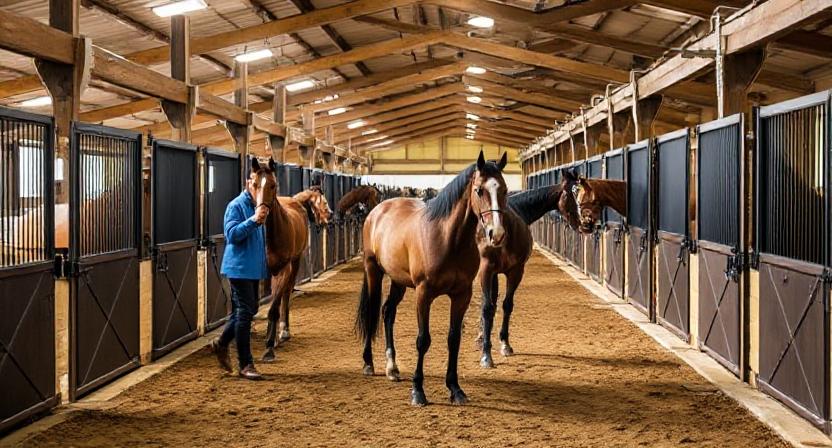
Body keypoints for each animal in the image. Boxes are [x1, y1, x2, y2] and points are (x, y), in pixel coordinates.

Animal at [258, 161, 332, 362]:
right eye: (324, 201)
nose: (330, 216)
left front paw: (273, 339)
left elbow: (276, 302)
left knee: (284, 294)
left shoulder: (284, 268)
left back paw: (283, 331)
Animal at [356, 151, 509, 406]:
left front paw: (455, 389)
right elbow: (423, 340)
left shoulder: (461, 295)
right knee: (372, 312)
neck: (447, 238)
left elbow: (453, 339)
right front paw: (418, 391)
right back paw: (368, 363)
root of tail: (378, 210)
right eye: (479, 190)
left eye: (505, 190)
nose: (496, 234)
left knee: (388, 312)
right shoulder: (423, 293)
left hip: (398, 281)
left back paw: (392, 367)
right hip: (373, 272)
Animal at [474, 179, 580, 367]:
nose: (585, 222)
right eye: (569, 194)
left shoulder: (514, 271)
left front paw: (504, 344)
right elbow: (488, 307)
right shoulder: (487, 270)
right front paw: (486, 355)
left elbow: (505, 305)